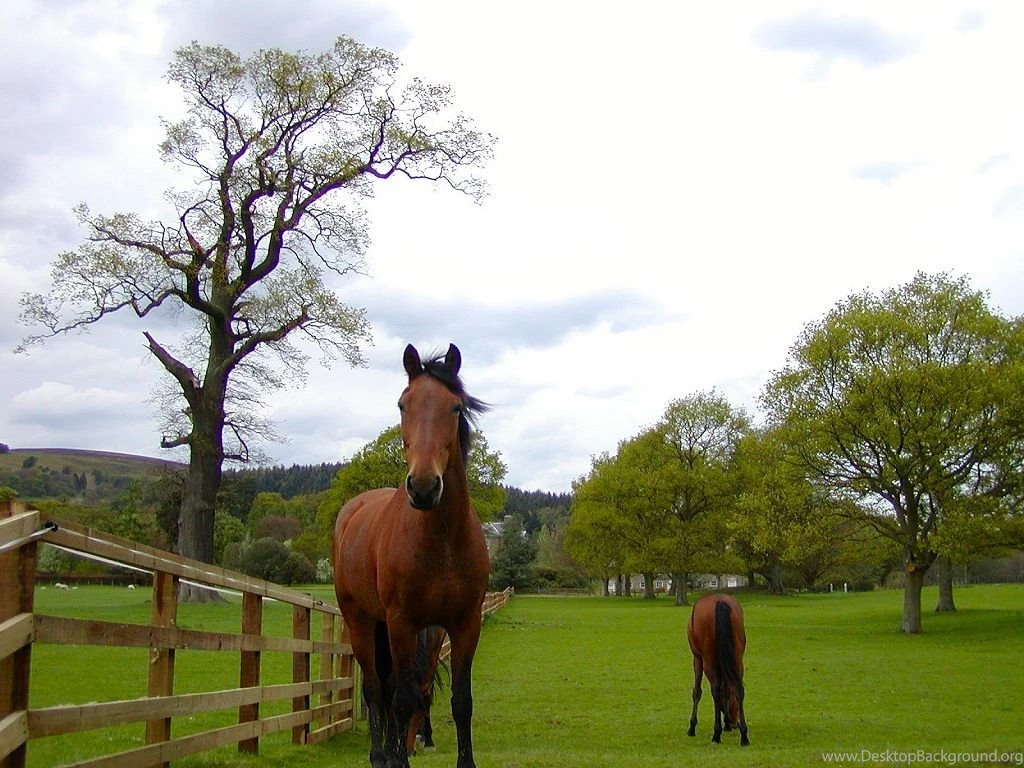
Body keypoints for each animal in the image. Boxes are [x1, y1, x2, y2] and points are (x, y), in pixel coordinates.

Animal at [333, 343, 490, 768]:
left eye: (455, 407)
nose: (423, 487)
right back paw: (380, 754)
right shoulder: (402, 623)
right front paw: (397, 756)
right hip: (361, 622)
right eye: (403, 405)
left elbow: (461, 702)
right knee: (376, 689)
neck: (442, 543)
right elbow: (401, 700)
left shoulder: (465, 625)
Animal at [686, 593, 749, 746]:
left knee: (714, 689)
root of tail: (720, 601)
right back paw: (744, 735)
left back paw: (716, 734)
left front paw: (692, 726)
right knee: (739, 689)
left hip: (708, 659)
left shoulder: (697, 658)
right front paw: (726, 723)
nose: (734, 723)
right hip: (737, 656)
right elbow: (725, 690)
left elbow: (697, 692)